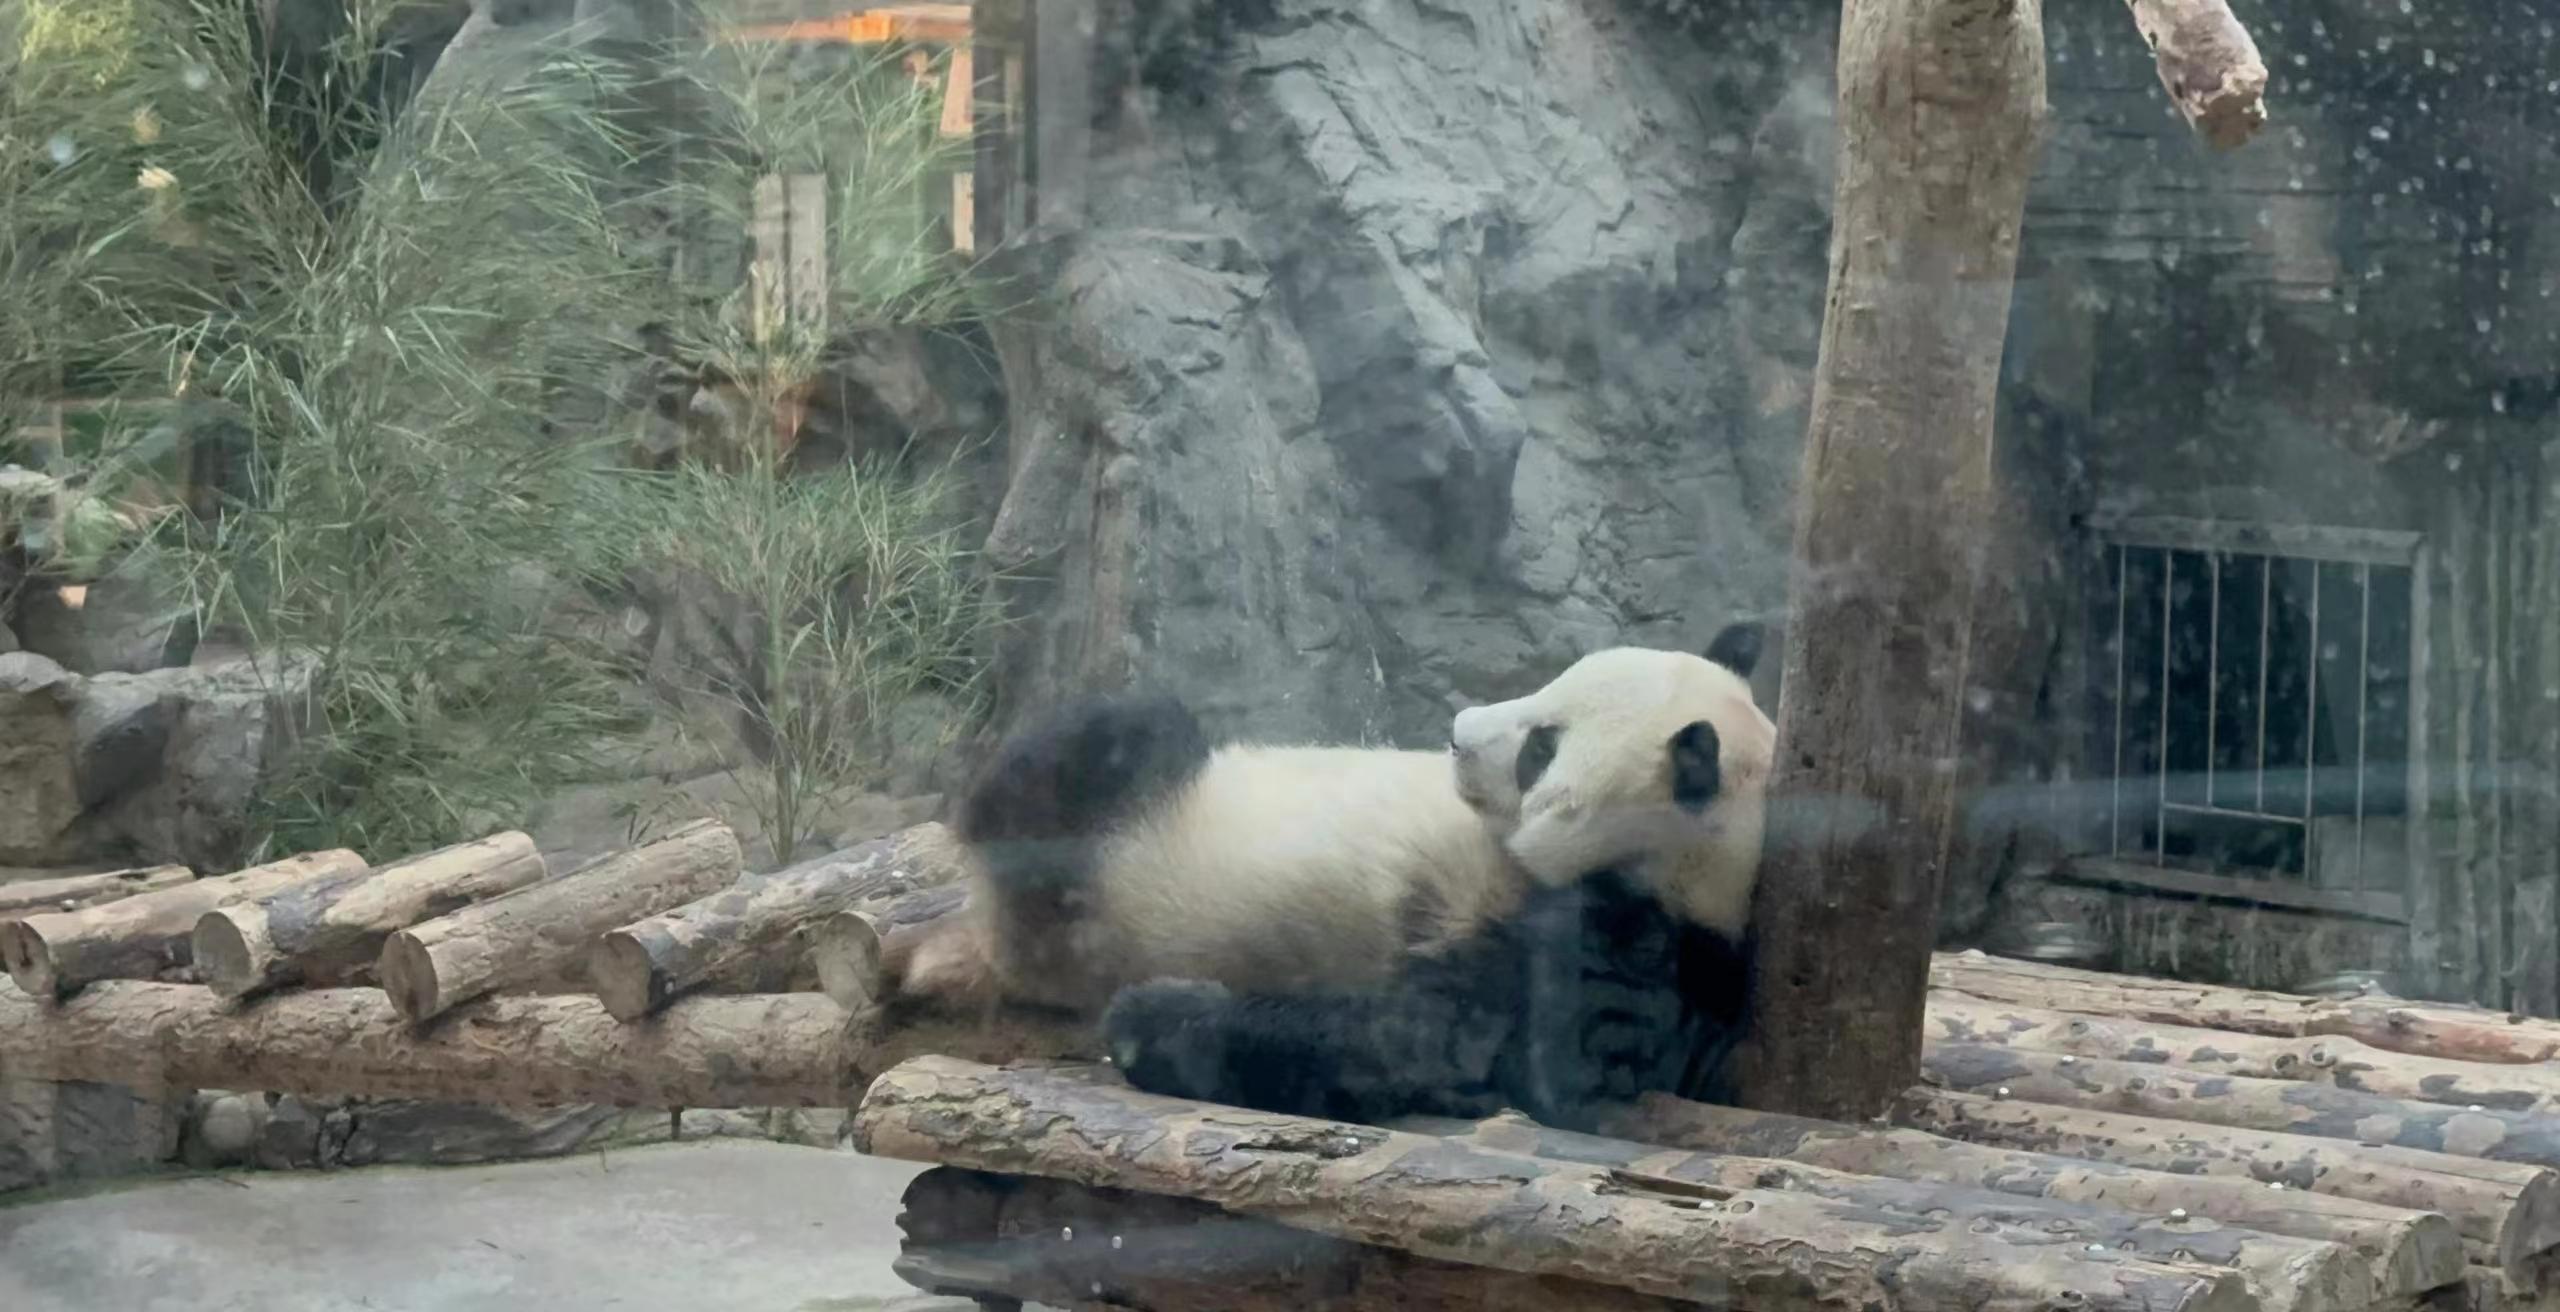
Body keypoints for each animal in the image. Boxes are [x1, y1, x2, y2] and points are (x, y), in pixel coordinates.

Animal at [879, 622, 1775, 1130]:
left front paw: (1157, 1016)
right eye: (1549, 682)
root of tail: (990, 938)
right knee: (1122, 730)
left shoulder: (1622, 944)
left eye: (1542, 746)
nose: (1456, 733)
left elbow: (1421, 1040)